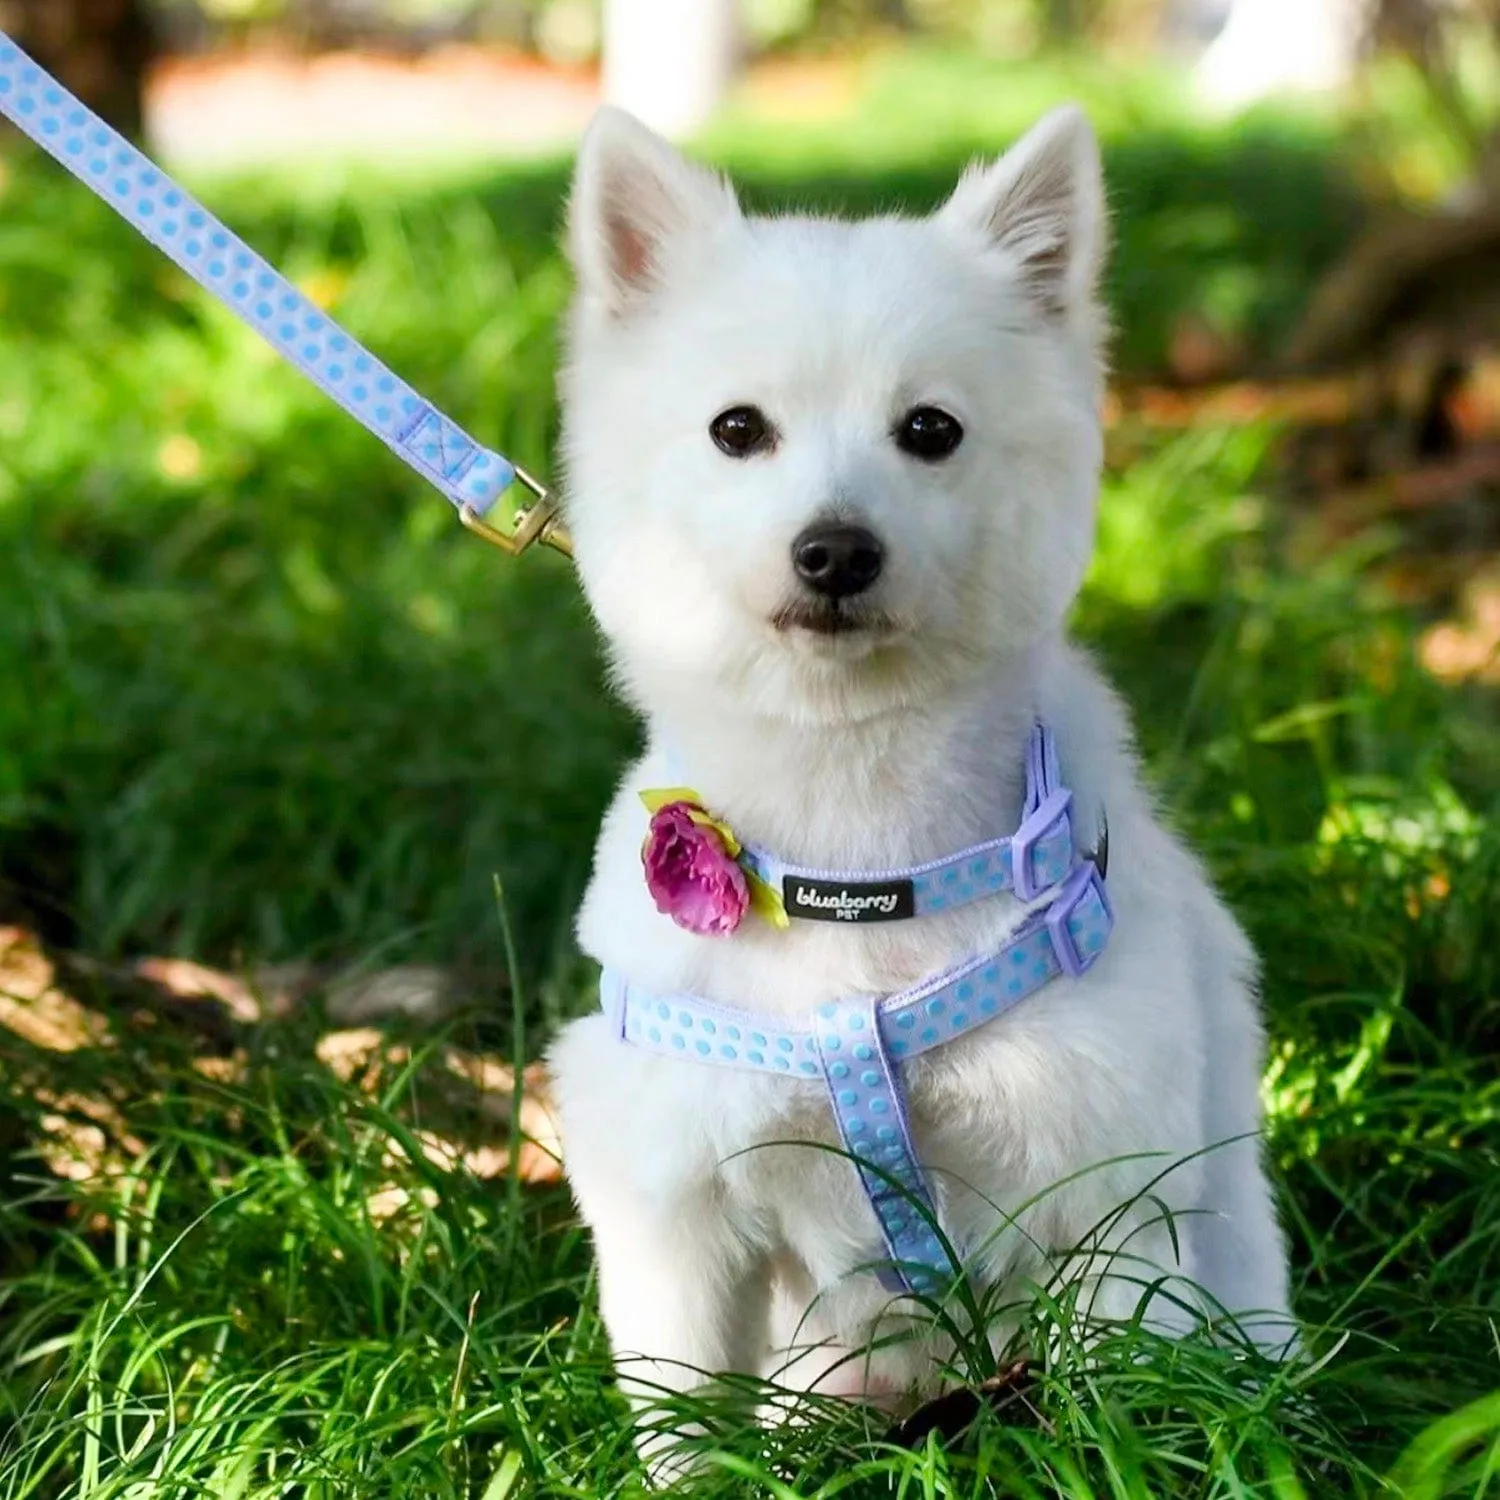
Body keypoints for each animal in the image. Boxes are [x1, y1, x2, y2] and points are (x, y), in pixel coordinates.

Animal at [546, 102, 1296, 1452]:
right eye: (738, 430)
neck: (858, 852)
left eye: (930, 430)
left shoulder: (1107, 1188)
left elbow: (1120, 1393)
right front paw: (700, 1471)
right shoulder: (675, 1193)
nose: (836, 548)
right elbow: (686, 1408)